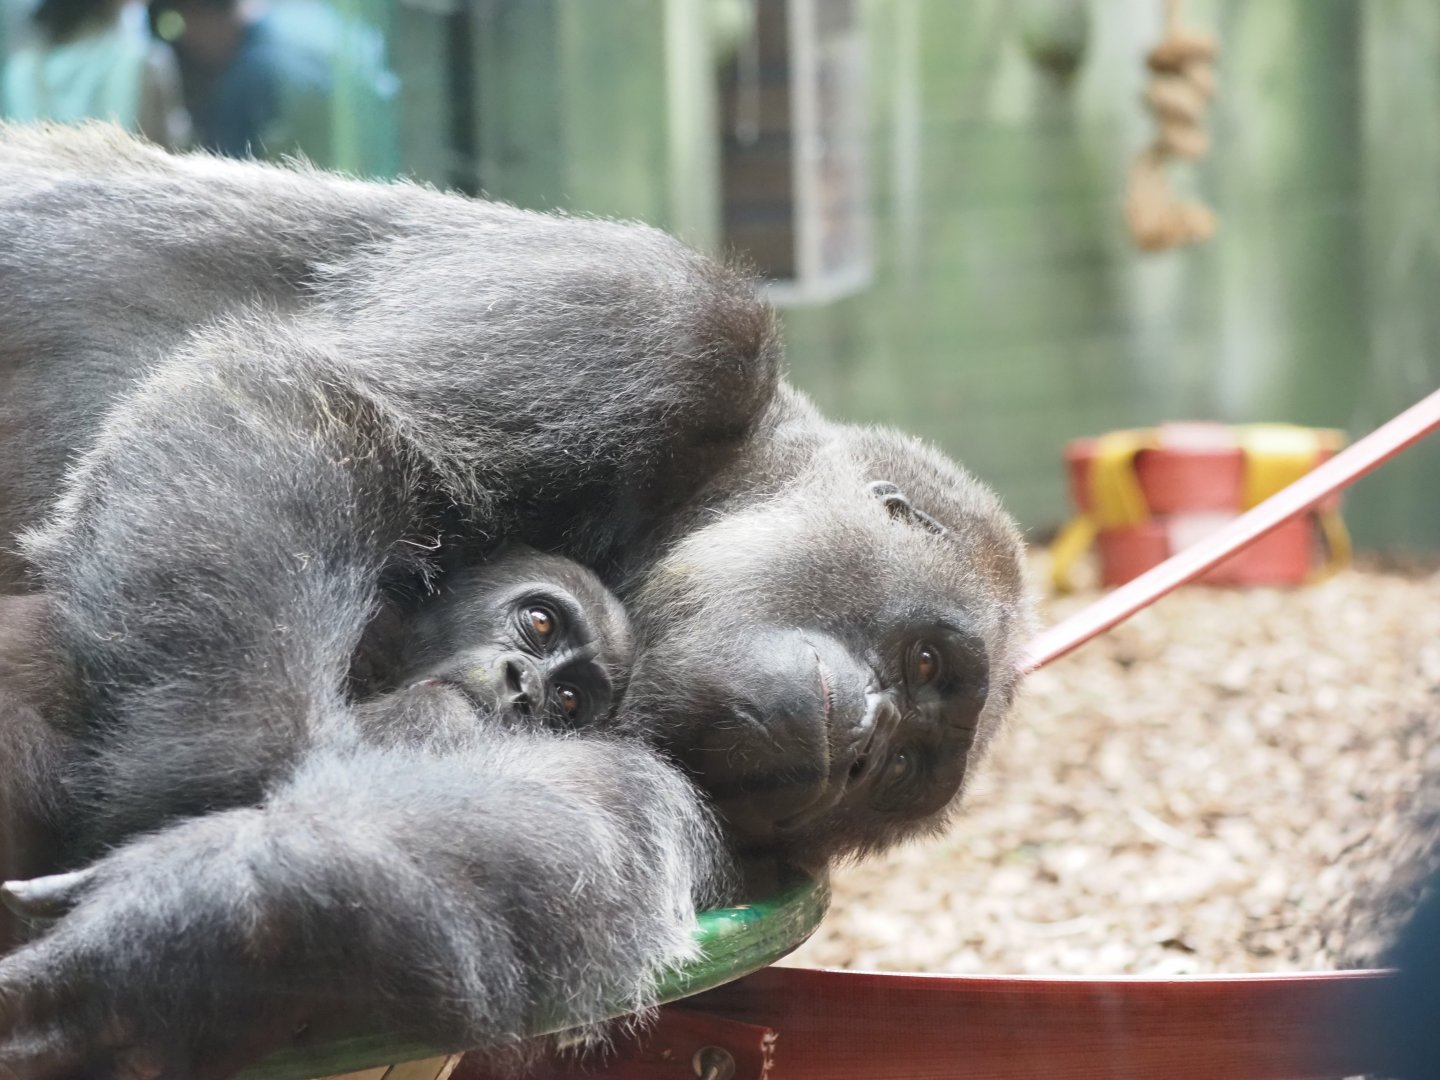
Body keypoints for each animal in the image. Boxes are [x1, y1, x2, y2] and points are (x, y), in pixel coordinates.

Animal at [0, 124, 1029, 1076]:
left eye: (900, 770)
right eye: (922, 660)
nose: (861, 743)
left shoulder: (723, 839)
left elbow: (534, 847)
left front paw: (209, 912)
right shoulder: (669, 324)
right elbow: (311, 402)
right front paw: (214, 772)